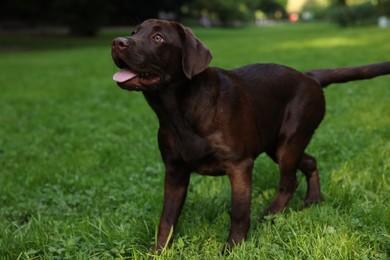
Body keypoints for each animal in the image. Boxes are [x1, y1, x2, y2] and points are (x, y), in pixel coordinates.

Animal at [111, 18, 390, 252]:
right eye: (134, 32)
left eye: (158, 38)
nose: (117, 42)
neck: (178, 112)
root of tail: (309, 76)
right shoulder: (175, 171)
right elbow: (167, 217)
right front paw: (158, 251)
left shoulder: (239, 165)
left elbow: (239, 211)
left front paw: (232, 248)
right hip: (277, 144)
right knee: (310, 162)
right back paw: (312, 200)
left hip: (289, 141)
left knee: (289, 181)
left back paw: (271, 214)